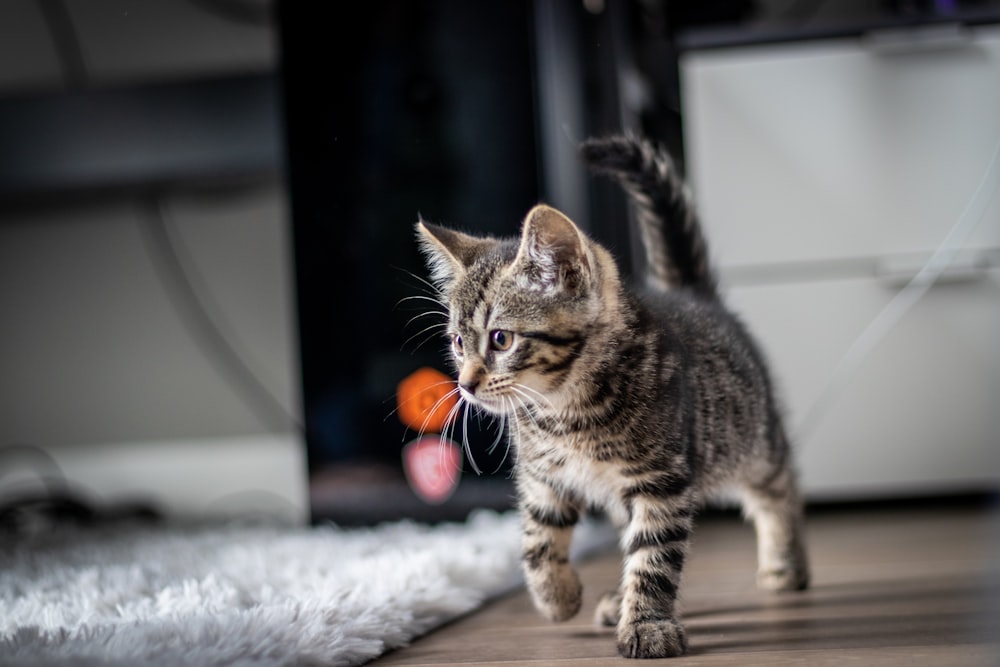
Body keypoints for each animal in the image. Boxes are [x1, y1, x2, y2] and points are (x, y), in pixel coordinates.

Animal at [414, 134, 812, 656]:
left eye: (500, 339)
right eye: (458, 343)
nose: (465, 384)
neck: (564, 411)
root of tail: (696, 297)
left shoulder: (661, 480)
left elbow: (654, 556)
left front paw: (646, 624)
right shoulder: (543, 475)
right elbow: (538, 539)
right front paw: (557, 596)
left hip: (750, 434)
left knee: (778, 483)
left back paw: (786, 562)